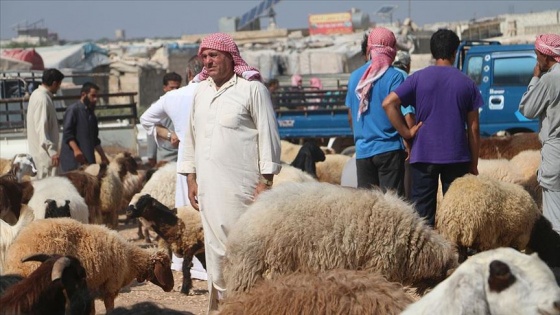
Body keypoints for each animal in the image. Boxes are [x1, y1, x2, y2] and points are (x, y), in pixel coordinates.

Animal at [3, 218, 174, 312]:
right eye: (166, 265)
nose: (171, 286)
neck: (129, 259)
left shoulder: (90, 291)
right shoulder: (109, 288)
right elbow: (109, 309)